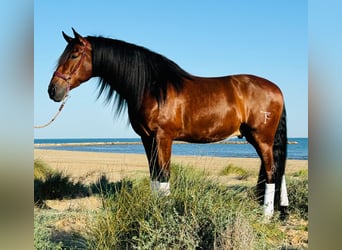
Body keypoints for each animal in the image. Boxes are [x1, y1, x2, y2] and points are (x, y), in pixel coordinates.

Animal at [48, 28, 288, 219]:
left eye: (74, 55)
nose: (53, 90)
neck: (152, 87)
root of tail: (277, 89)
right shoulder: (147, 139)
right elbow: (154, 175)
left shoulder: (163, 137)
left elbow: (163, 175)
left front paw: (163, 212)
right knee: (277, 170)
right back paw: (281, 211)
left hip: (262, 139)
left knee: (271, 172)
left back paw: (266, 216)